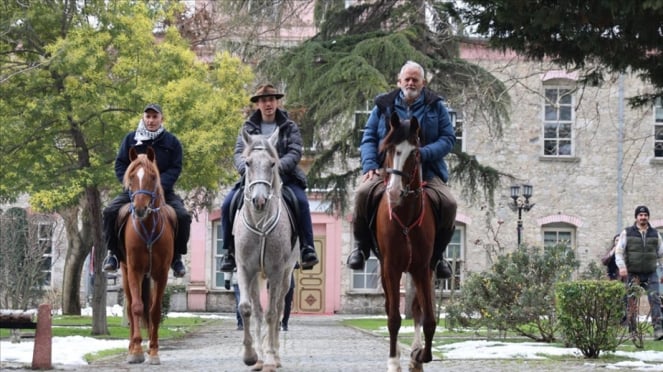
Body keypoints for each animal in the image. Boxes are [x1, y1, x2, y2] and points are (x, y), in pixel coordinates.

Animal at [120, 147, 176, 364]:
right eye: (132, 176)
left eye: (153, 177)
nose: (140, 209)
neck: (148, 226)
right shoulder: (134, 270)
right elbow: (137, 307)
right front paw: (136, 350)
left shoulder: (161, 273)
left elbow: (154, 310)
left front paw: (153, 351)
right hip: (125, 271)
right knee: (129, 308)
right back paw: (130, 347)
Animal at [232, 126, 296, 370]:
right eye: (248, 163)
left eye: (272, 164)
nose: (259, 201)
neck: (260, 224)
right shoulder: (244, 269)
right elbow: (247, 308)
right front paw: (251, 356)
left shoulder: (277, 272)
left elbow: (272, 314)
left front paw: (269, 358)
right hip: (255, 277)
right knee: (258, 311)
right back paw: (258, 357)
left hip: (286, 276)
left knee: (277, 311)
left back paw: (274, 356)